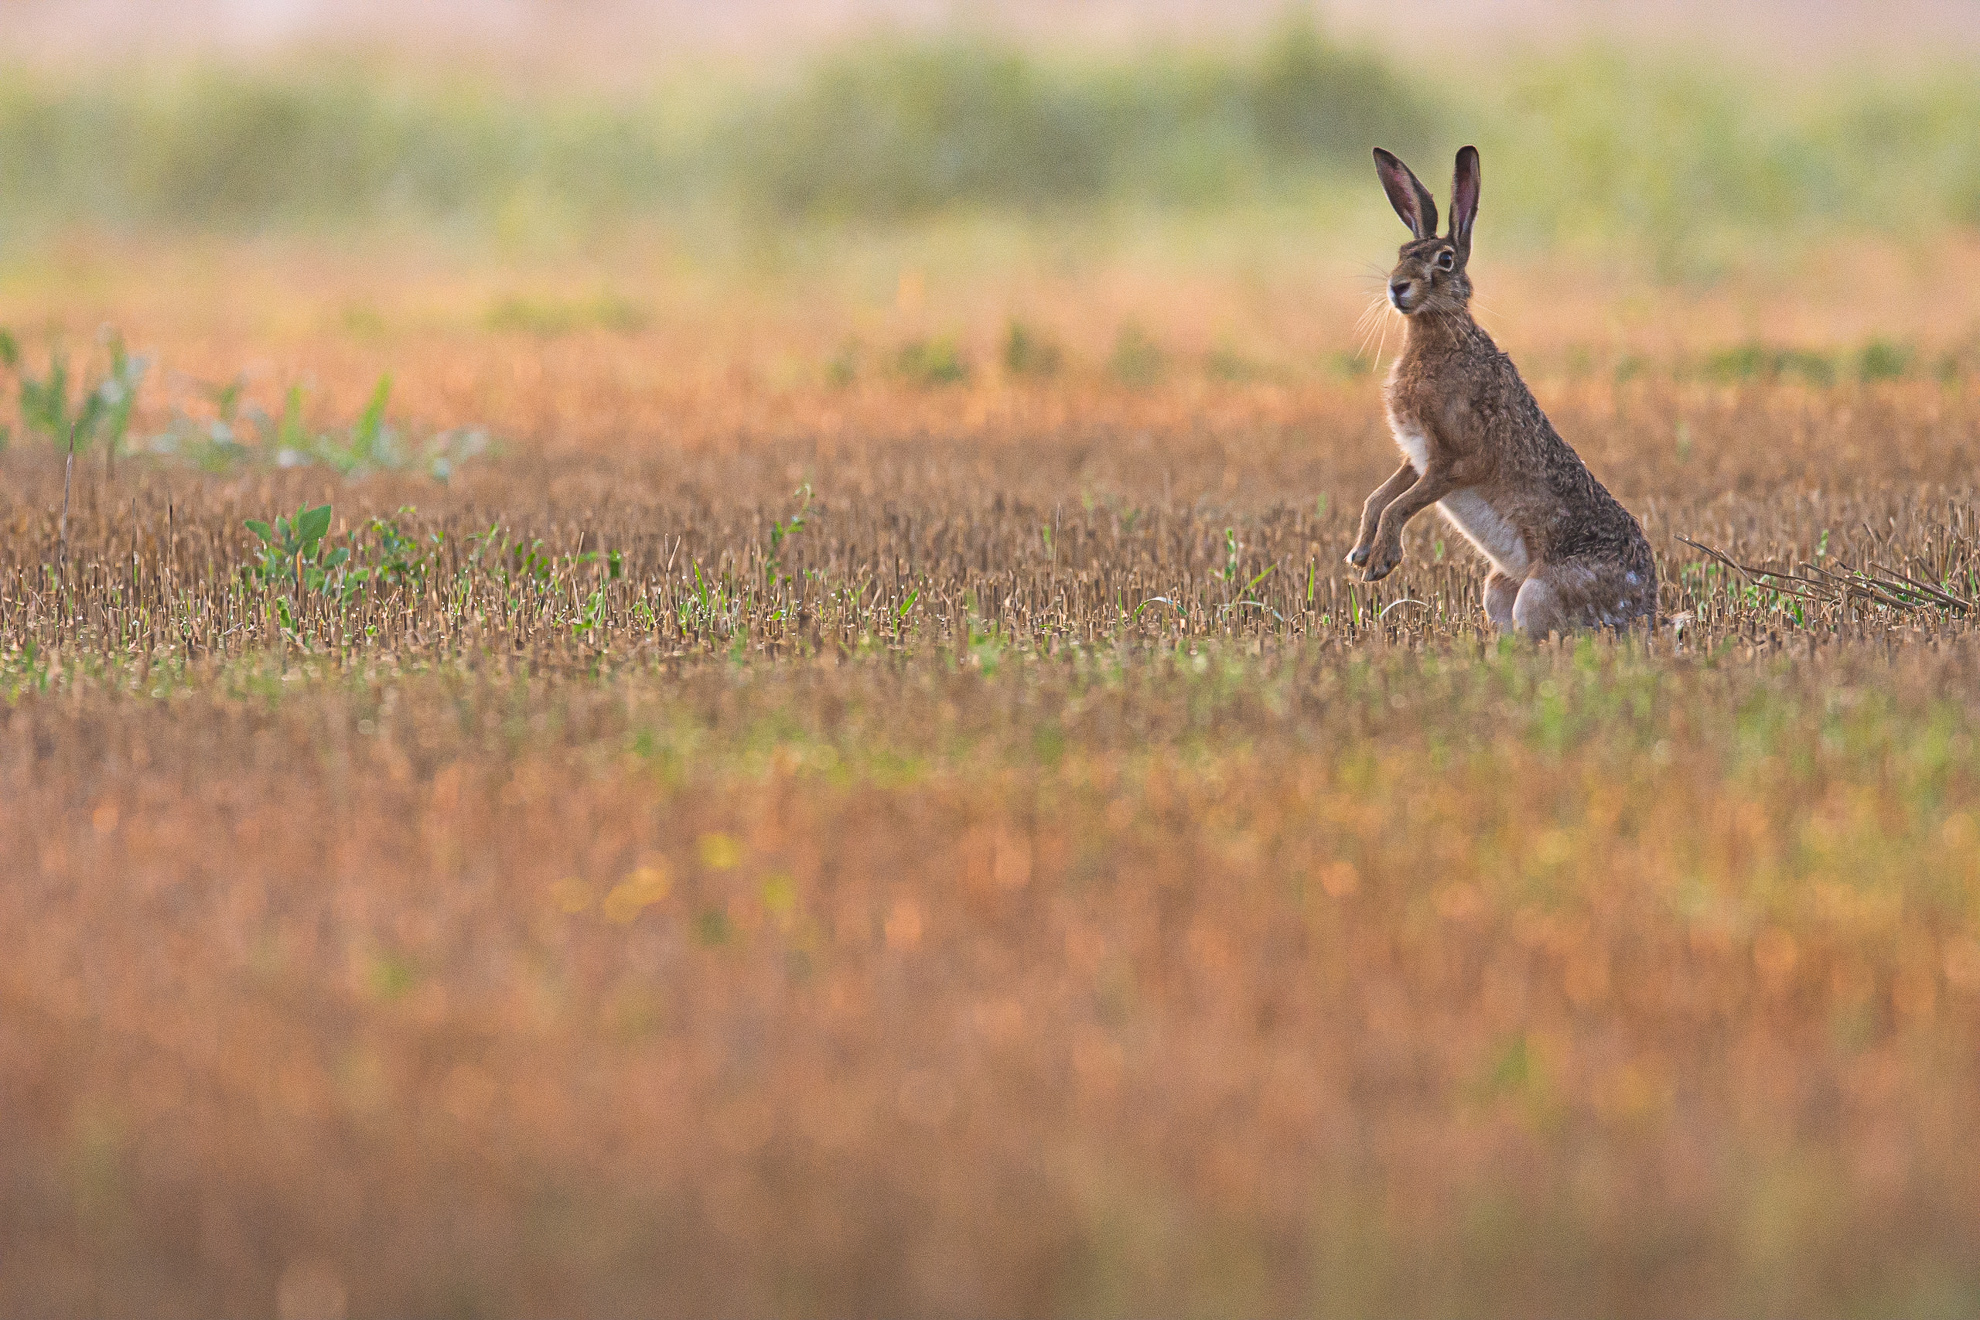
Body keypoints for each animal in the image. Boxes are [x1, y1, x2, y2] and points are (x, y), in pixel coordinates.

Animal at [1345, 145, 1657, 634]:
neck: (1440, 333)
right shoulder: (1416, 455)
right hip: (1497, 590)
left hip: (1539, 594)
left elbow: (1400, 505)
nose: (1397, 287)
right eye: (1402, 253)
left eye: (1445, 260)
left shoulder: (1455, 459)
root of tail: (1645, 608)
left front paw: (1380, 563)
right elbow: (1378, 497)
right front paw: (1359, 552)